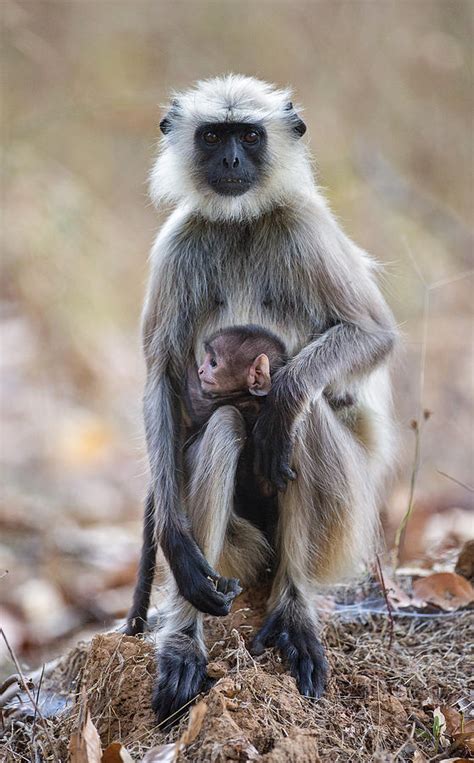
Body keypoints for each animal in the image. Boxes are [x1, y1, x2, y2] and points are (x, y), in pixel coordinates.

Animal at [125, 74, 396, 724]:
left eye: (248, 136)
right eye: (213, 136)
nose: (230, 161)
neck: (241, 221)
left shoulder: (305, 227)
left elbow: (374, 334)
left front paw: (284, 392)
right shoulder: (179, 242)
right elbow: (161, 380)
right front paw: (175, 543)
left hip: (345, 527)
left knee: (298, 421)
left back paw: (293, 607)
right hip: (237, 560)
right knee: (225, 430)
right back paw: (184, 640)